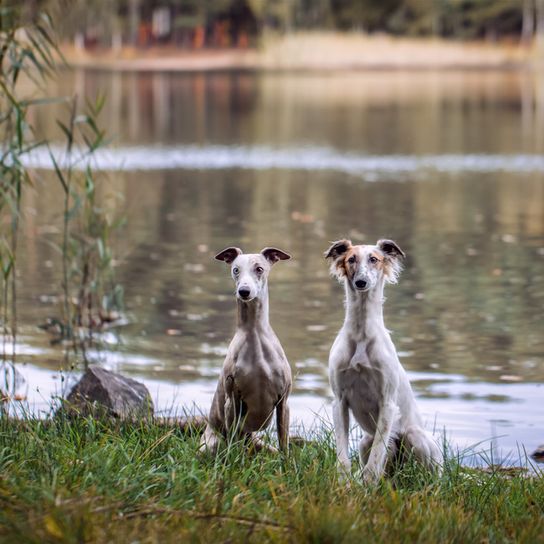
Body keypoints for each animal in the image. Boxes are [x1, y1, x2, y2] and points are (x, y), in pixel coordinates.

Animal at [201, 246, 294, 454]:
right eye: (236, 269)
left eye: (259, 269)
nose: (244, 291)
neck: (255, 334)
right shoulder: (232, 402)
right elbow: (232, 443)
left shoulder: (283, 402)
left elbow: (284, 446)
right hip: (212, 443)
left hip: (261, 444)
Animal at [326, 240, 440, 482]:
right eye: (351, 259)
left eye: (374, 259)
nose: (361, 282)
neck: (361, 335)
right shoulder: (339, 401)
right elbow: (343, 458)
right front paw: (344, 484)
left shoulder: (387, 403)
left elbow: (375, 461)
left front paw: (366, 484)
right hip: (365, 441)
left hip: (416, 438)